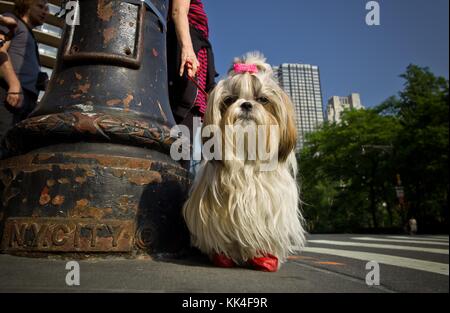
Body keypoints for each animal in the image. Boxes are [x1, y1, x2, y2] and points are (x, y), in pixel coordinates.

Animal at [183, 51, 306, 270]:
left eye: (262, 99)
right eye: (230, 99)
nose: (246, 104)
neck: (247, 157)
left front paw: (264, 258)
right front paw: (223, 256)